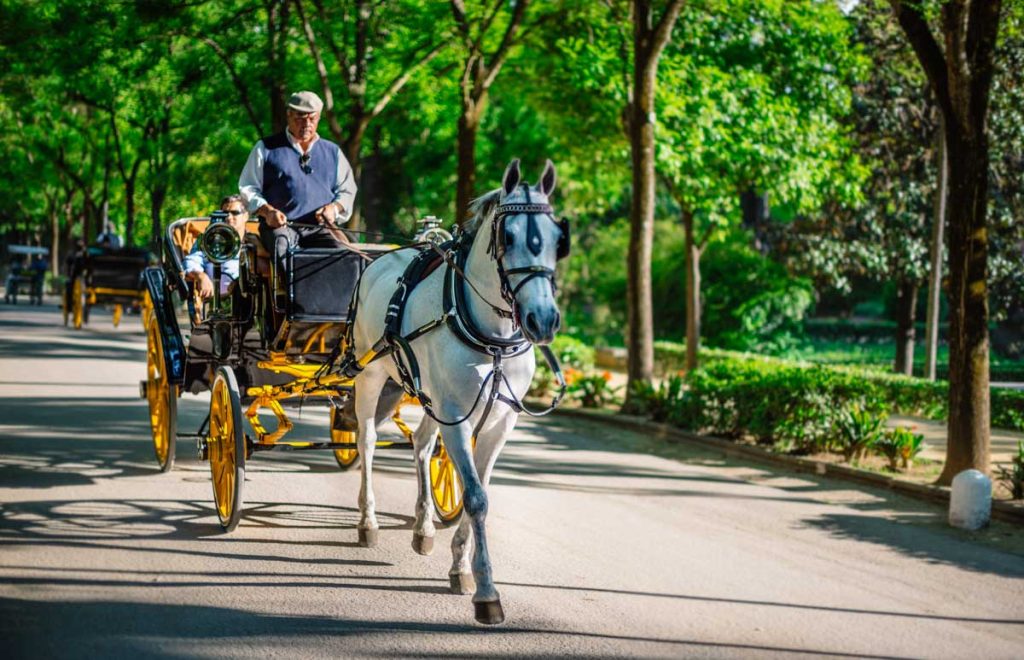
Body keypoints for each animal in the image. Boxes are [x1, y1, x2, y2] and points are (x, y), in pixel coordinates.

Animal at [352, 158, 569, 622]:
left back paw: (423, 528)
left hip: (430, 397)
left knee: (420, 444)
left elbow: (480, 489)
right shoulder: (456, 414)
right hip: (370, 374)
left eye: (558, 239)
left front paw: (460, 568)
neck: (493, 339)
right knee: (367, 440)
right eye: (507, 237)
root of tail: (386, 256)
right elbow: (475, 496)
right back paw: (368, 521)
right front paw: (486, 591)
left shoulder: (498, 421)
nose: (543, 320)